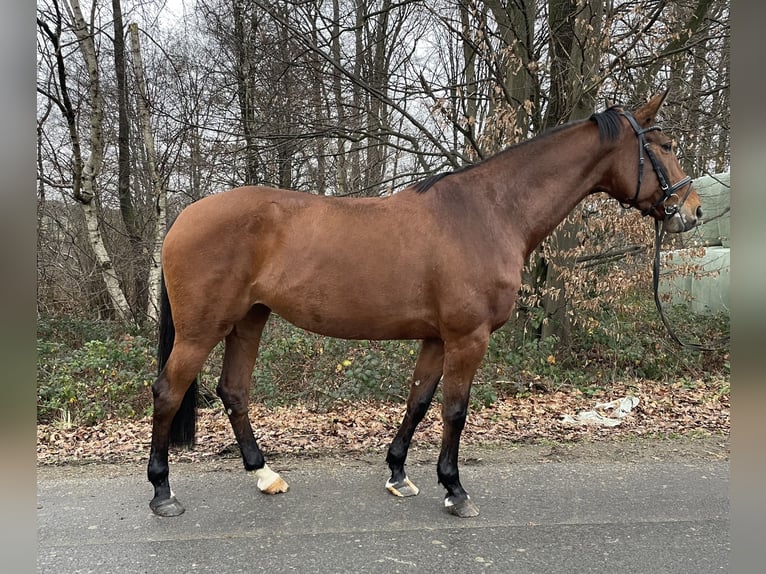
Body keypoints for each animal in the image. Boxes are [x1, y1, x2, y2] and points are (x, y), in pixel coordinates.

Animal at [148, 89, 702, 518]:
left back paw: (265, 475)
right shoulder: (468, 337)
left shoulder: (437, 337)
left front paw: (398, 473)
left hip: (249, 319)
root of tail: (184, 216)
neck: (489, 212)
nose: (693, 211)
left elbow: (418, 400)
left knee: (234, 391)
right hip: (202, 330)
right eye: (665, 146)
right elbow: (455, 409)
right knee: (168, 392)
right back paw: (162, 492)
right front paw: (454, 489)